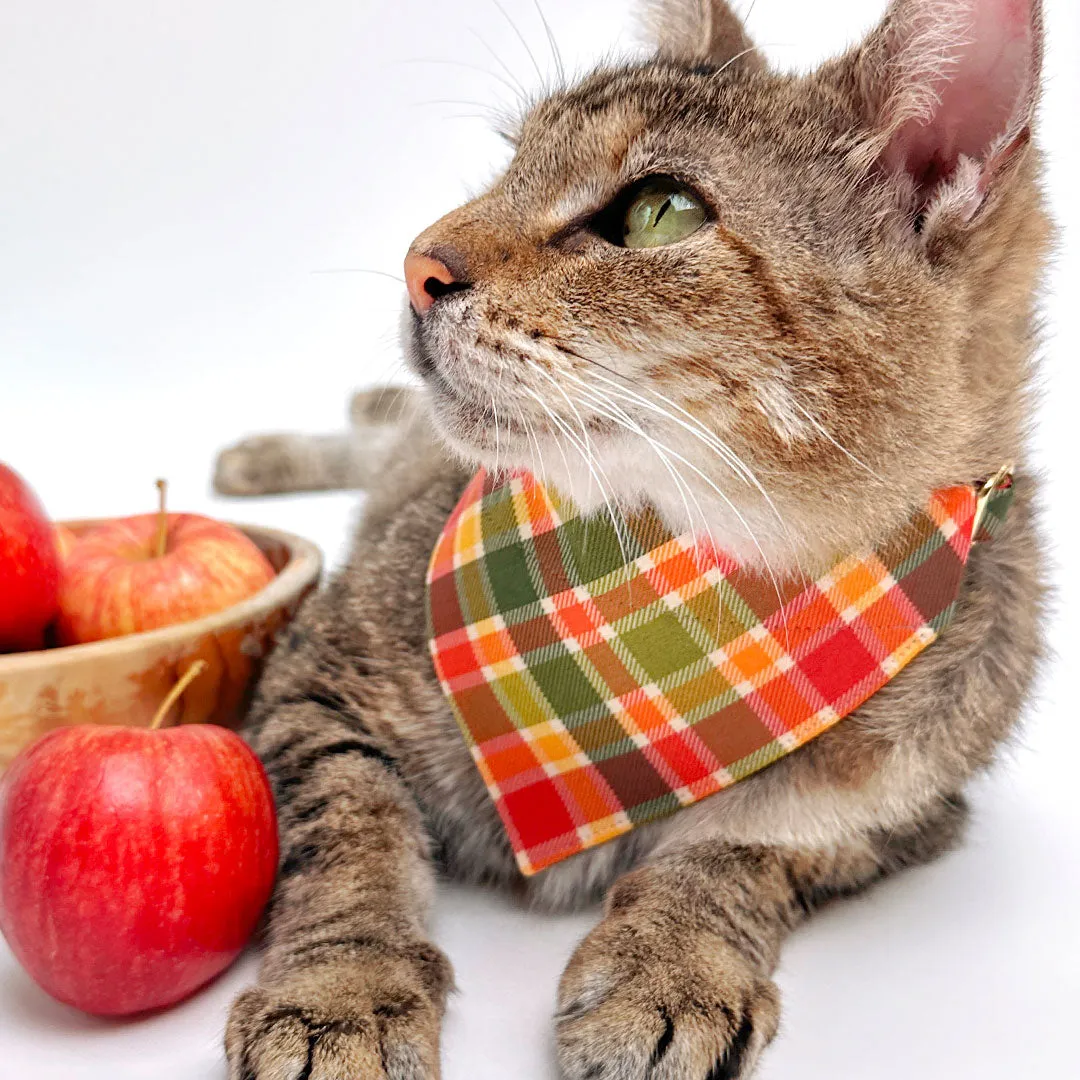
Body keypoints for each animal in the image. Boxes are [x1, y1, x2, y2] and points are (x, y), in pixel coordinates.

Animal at [214, 4, 1049, 1075]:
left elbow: (741, 847)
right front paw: (341, 991)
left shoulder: (904, 805)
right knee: (377, 426)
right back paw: (260, 456)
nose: (416, 263)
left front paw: (672, 961)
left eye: (661, 210)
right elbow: (353, 834)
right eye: (514, 162)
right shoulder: (315, 673)